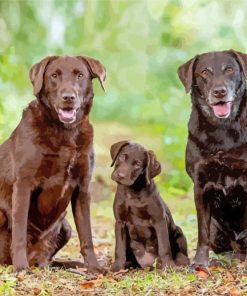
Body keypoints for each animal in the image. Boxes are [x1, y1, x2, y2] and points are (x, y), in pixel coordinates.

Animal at [0, 55, 105, 272]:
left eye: (80, 75)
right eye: (54, 76)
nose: (68, 97)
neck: (66, 132)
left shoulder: (83, 189)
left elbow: (87, 235)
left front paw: (93, 267)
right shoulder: (23, 184)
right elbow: (19, 231)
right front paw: (21, 267)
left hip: (65, 226)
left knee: (48, 257)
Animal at [110, 141, 189, 270]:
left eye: (137, 164)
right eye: (122, 156)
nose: (120, 175)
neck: (133, 193)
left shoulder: (159, 220)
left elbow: (164, 246)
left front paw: (167, 265)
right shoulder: (120, 222)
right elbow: (119, 247)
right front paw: (117, 267)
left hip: (178, 232)